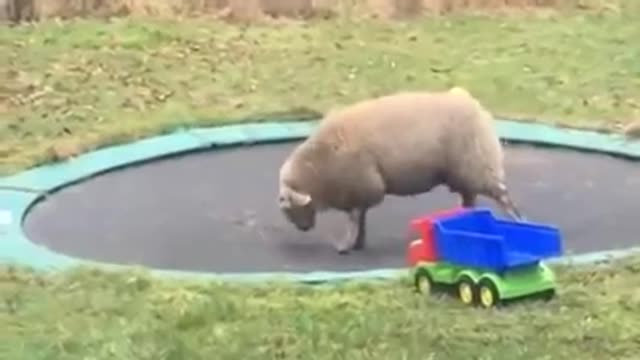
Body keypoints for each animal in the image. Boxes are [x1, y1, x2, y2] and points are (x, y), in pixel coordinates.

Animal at [278, 87, 524, 255]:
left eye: (288, 206)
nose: (303, 228)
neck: (318, 166)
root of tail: (474, 105)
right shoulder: (361, 192)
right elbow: (361, 219)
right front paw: (358, 243)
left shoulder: (360, 187)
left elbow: (354, 220)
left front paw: (346, 246)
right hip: (465, 174)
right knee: (469, 202)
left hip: (478, 166)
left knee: (503, 197)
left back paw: (518, 222)